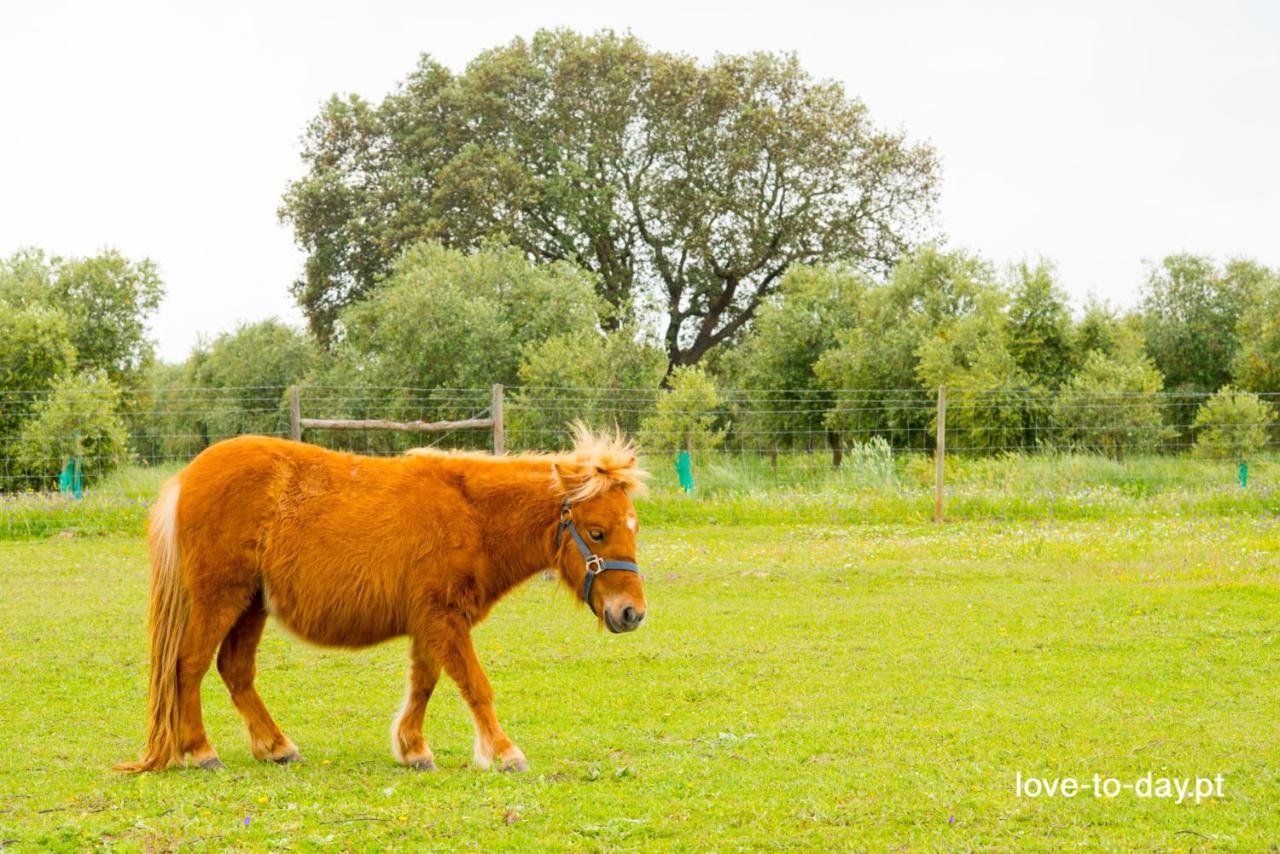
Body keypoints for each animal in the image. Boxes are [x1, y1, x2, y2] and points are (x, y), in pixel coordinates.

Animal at [115, 427, 645, 773]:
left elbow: (425, 684)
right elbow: (475, 685)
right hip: (220, 599)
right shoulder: (443, 619)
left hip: (251, 606)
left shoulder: (431, 622)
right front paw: (502, 752)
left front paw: (413, 749)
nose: (631, 613)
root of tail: (188, 477)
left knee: (235, 671)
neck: (470, 514)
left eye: (634, 528)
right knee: (189, 666)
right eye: (597, 532)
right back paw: (202, 750)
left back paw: (276, 746)